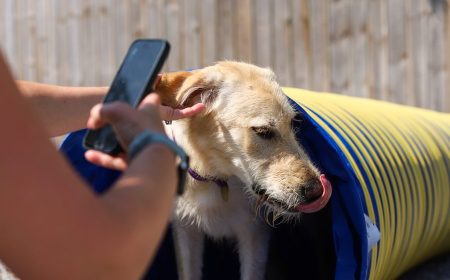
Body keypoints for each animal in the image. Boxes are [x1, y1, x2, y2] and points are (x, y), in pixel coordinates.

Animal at [156, 61, 332, 280]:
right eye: (263, 131)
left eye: (292, 123)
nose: (317, 191)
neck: (217, 179)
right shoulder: (185, 231)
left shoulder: (254, 235)